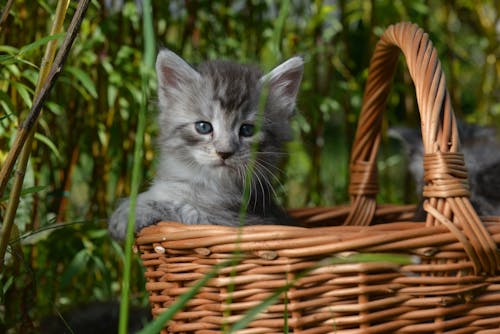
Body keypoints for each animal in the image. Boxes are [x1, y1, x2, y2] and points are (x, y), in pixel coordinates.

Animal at [108, 49, 304, 240]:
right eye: (203, 127)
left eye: (247, 130)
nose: (224, 152)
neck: (206, 186)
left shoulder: (235, 221)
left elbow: (184, 208)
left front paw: (130, 212)